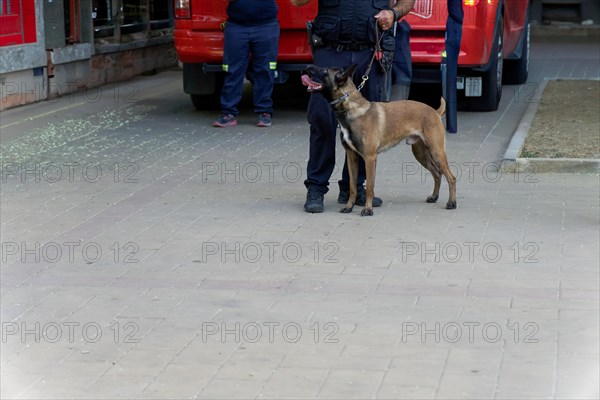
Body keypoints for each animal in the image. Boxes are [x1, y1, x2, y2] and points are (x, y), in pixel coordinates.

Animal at [308, 64, 458, 216]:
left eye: (324, 71)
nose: (307, 67)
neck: (351, 108)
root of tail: (435, 112)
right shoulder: (352, 156)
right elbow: (352, 186)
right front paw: (349, 206)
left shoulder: (370, 158)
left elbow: (369, 187)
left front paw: (368, 209)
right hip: (421, 153)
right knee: (437, 173)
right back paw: (434, 197)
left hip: (436, 152)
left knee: (451, 177)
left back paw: (452, 203)